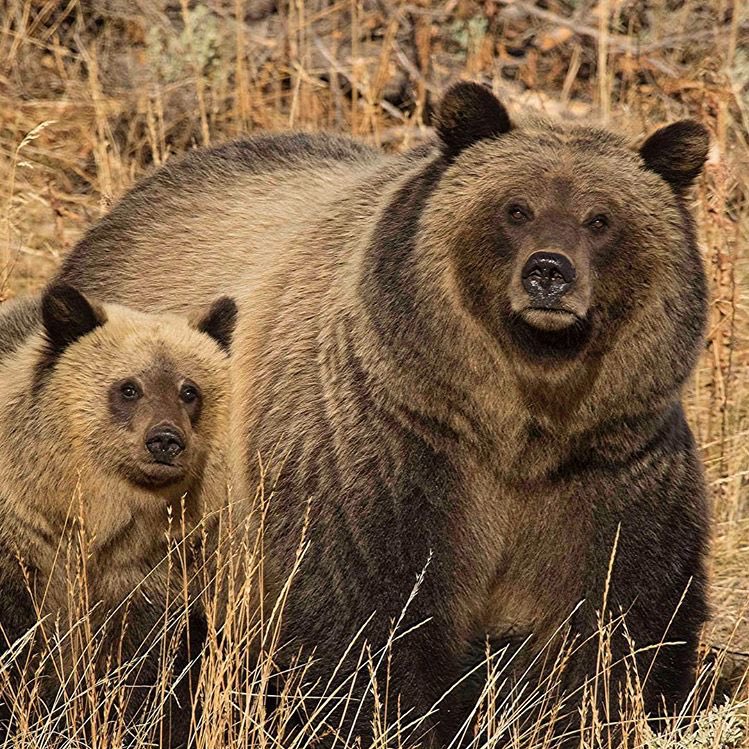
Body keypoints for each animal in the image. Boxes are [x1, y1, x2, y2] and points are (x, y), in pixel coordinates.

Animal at [0, 284, 237, 744]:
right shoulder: (25, 550)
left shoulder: (150, 577)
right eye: (129, 388)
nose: (165, 440)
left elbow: (143, 666)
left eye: (189, 390)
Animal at [51, 84, 708, 744]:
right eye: (516, 208)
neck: (518, 426)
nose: (549, 272)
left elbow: (618, 627)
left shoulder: (609, 468)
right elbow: (372, 626)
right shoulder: (386, 454)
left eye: (601, 219)